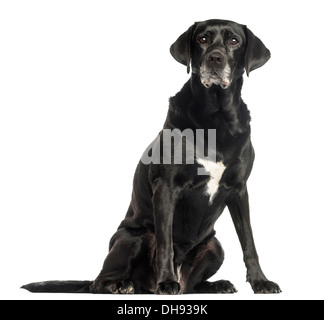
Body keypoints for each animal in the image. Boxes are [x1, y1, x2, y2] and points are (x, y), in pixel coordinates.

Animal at [22, 19, 280, 296]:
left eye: (234, 41)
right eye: (202, 39)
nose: (215, 58)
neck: (216, 116)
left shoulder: (239, 189)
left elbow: (249, 242)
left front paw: (261, 281)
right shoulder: (166, 188)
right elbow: (166, 242)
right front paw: (166, 281)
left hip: (215, 247)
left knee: (193, 285)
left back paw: (215, 284)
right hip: (134, 237)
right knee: (99, 282)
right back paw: (123, 285)